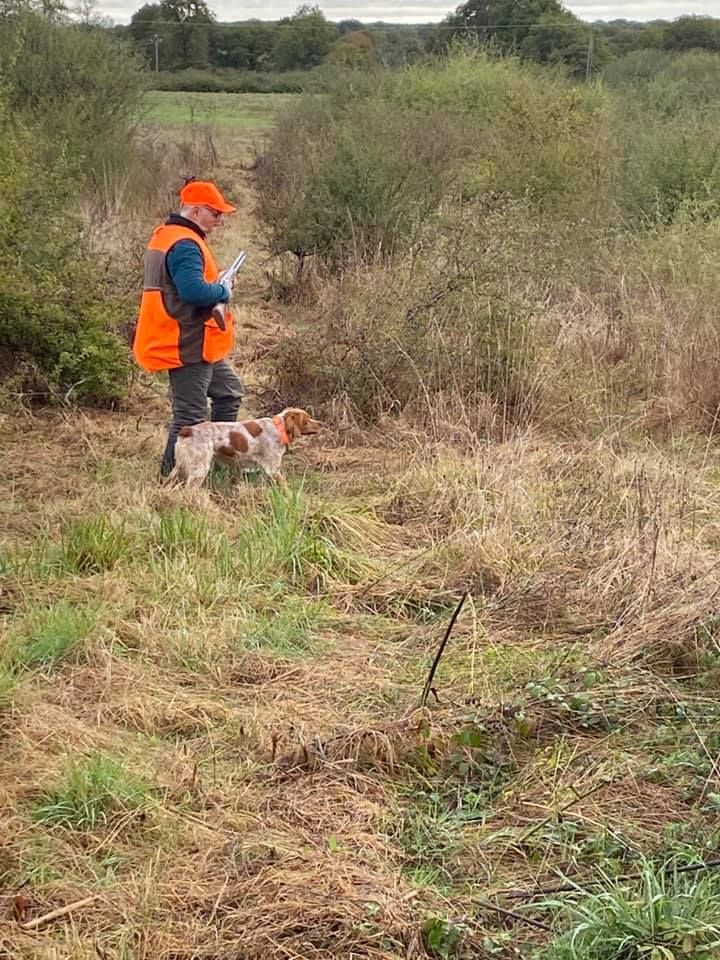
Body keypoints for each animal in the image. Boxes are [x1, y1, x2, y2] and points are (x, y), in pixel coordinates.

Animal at [171, 408, 320, 492]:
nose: (321, 423)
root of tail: (187, 430)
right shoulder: (273, 469)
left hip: (179, 468)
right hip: (199, 469)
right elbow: (285, 487)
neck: (279, 428)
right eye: (307, 419)